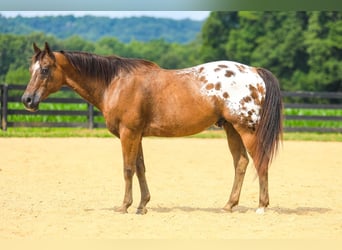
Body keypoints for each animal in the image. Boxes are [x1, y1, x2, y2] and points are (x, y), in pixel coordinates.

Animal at [22, 42, 284, 214]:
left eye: (44, 69)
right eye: (31, 70)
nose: (27, 100)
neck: (115, 83)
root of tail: (254, 72)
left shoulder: (128, 133)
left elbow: (128, 169)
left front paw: (124, 206)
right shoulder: (137, 135)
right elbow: (140, 168)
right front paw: (142, 205)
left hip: (246, 130)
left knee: (260, 161)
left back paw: (261, 206)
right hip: (231, 128)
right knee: (241, 163)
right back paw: (229, 205)